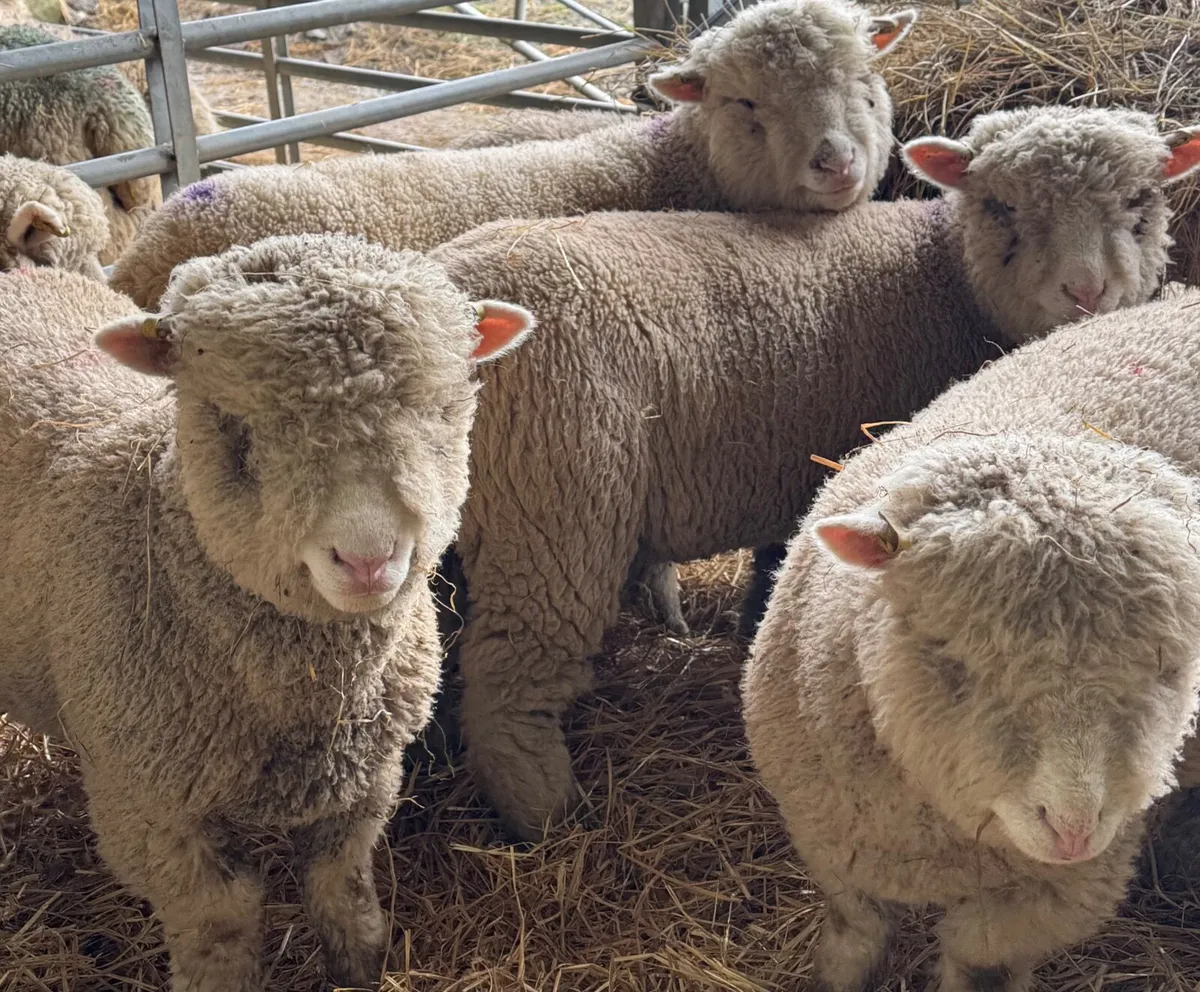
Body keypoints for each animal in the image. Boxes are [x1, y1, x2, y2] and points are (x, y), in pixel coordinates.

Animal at [0, 233, 534, 992]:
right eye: (235, 429)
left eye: (440, 410)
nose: (368, 558)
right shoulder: (149, 812)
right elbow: (220, 927)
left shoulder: (366, 782)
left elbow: (342, 889)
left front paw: (359, 966)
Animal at [416, 104, 1200, 842]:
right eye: (1001, 206)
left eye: (1141, 200)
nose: (1086, 292)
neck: (943, 275)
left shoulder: (800, 470)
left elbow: (775, 560)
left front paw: (750, 631)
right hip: (554, 507)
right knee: (508, 685)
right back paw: (551, 820)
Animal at [742, 287, 1200, 991]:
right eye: (950, 659)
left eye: (1170, 669)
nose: (1072, 831)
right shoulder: (828, 836)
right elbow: (854, 931)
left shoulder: (1057, 896)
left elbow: (980, 958)